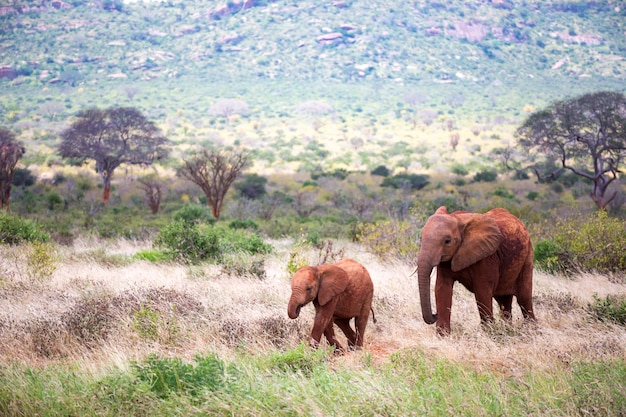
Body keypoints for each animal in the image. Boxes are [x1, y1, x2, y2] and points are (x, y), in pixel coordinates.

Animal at [416, 206, 532, 334]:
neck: (457, 219)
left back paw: (531, 329)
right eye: (421, 238)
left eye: (447, 241)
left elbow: (482, 292)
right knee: (504, 301)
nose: (435, 314)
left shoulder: (486, 257)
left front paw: (489, 333)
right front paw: (443, 336)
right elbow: (442, 289)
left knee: (524, 298)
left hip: (528, 256)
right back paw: (507, 329)